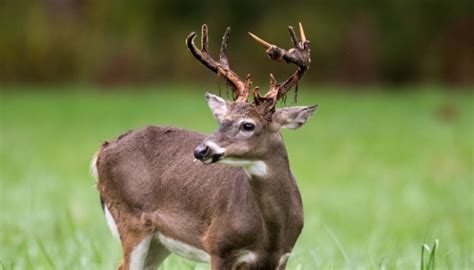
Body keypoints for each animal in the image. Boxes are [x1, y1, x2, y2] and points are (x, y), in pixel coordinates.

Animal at [91, 23, 314, 270]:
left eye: (248, 125)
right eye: (221, 120)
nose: (201, 150)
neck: (271, 232)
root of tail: (102, 151)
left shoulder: (282, 256)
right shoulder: (218, 245)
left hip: (158, 241)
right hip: (131, 217)